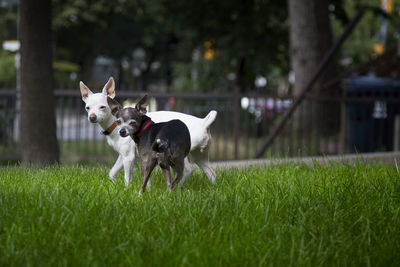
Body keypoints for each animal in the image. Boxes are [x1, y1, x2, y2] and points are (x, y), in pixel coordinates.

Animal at [78, 77, 216, 186]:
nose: (92, 117)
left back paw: (178, 187)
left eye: (102, 107)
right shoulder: (124, 156)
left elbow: (127, 178)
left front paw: (126, 190)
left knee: (188, 169)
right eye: (87, 108)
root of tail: (203, 122)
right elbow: (112, 173)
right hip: (199, 156)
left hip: (178, 154)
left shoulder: (128, 157)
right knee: (211, 173)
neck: (114, 124)